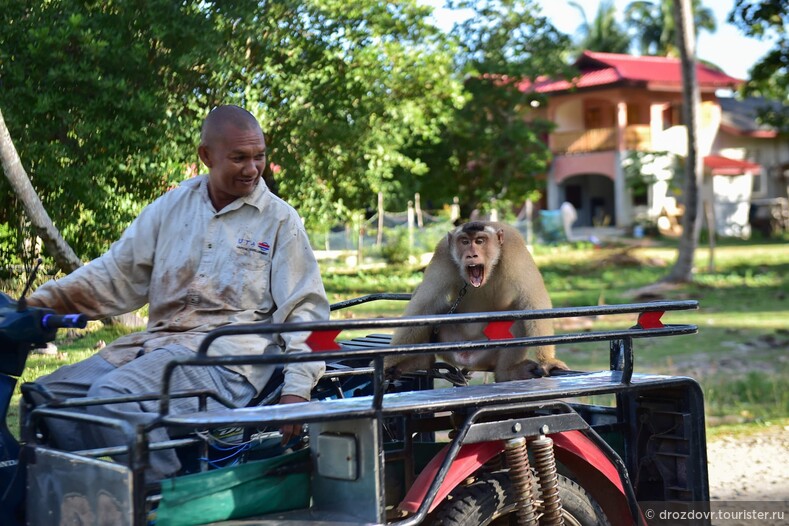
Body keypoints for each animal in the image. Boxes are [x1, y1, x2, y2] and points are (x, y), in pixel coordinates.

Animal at [384, 223, 564, 384]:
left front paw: (547, 360)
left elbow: (532, 300)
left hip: (487, 353)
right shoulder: (443, 252)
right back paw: (420, 361)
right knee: (433, 309)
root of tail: (467, 357)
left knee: (517, 317)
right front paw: (389, 360)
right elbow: (423, 306)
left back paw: (506, 372)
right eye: (464, 242)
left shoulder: (514, 248)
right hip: (451, 342)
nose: (471, 255)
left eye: (479, 241)